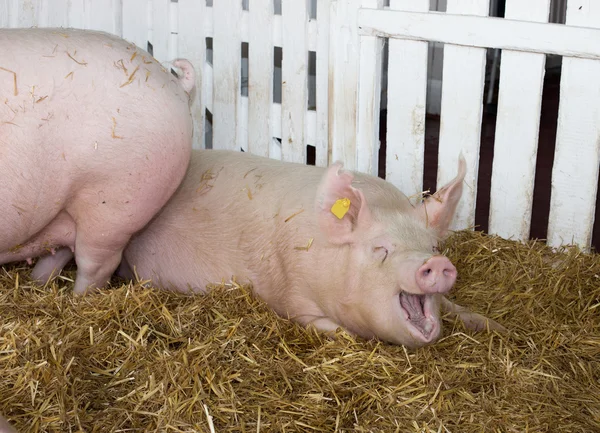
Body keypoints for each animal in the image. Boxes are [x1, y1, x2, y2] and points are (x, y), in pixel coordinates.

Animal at [0, 27, 193, 294]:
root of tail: (173, 81)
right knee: (58, 253)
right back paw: (39, 285)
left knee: (94, 266)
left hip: (114, 207)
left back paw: (76, 298)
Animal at [116, 150, 502, 346]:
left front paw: (492, 325)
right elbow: (333, 329)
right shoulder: (292, 296)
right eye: (380, 249)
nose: (434, 262)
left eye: (433, 244)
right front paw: (350, 336)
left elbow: (453, 307)